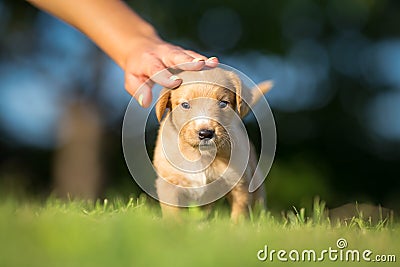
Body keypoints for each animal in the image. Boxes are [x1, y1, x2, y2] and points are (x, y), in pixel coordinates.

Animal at [152, 67, 272, 222]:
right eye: (185, 105)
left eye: (223, 103)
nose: (205, 133)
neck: (201, 155)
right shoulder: (169, 182)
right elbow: (173, 212)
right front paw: (174, 226)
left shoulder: (240, 183)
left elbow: (240, 211)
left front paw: (237, 227)